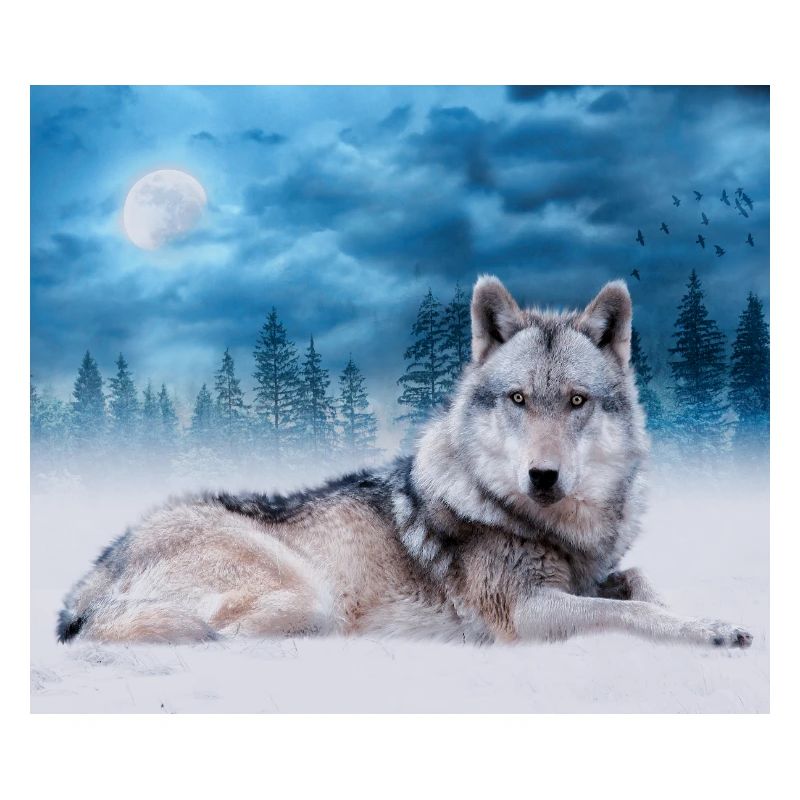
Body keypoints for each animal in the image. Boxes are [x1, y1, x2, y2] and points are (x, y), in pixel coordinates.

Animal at [57, 277, 752, 648]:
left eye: (577, 401)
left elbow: (641, 585)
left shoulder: (592, 575)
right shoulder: (523, 614)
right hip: (306, 596)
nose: (543, 476)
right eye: (518, 399)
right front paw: (709, 631)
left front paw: (711, 619)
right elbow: (631, 611)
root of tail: (95, 573)